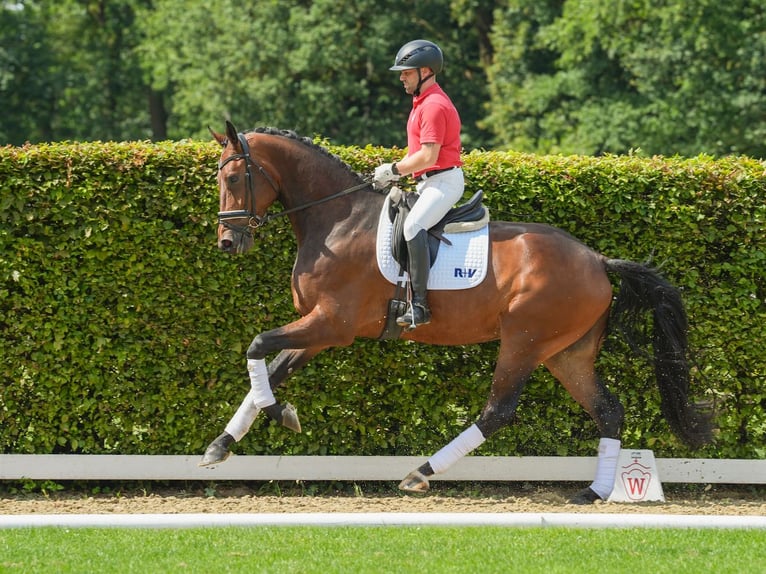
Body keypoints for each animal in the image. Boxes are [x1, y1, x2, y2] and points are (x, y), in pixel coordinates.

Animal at [200, 121, 712, 504]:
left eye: (233, 179)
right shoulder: (319, 330)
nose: (227, 243)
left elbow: (258, 346)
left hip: (525, 341)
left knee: (498, 411)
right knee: (608, 409)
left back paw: (420, 473)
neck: (338, 219)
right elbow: (272, 370)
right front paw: (221, 444)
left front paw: (279, 414)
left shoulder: (331, 324)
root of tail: (597, 259)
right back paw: (594, 492)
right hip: (566, 353)